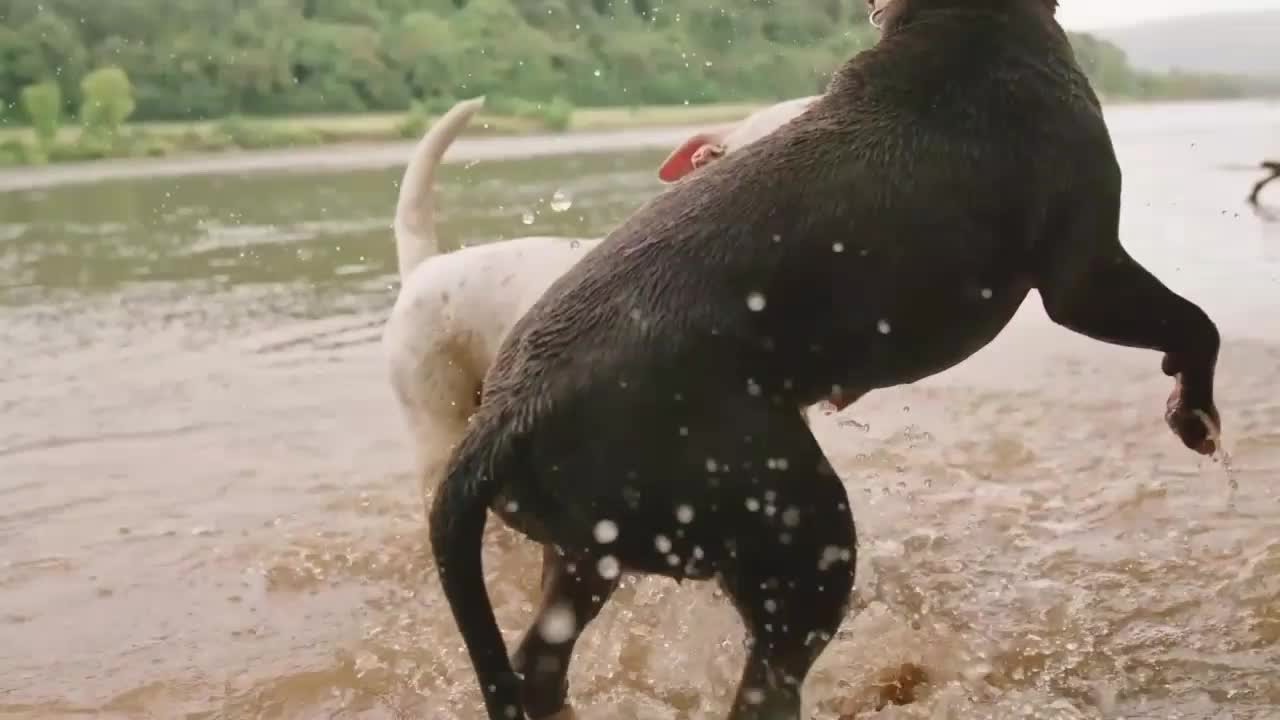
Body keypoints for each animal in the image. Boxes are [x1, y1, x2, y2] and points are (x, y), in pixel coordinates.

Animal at [427, 2, 1218, 712]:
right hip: (797, 528)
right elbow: (1194, 324)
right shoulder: (1084, 275)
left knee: (539, 664)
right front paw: (1194, 412)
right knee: (765, 683)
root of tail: (505, 414)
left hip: (587, 552)